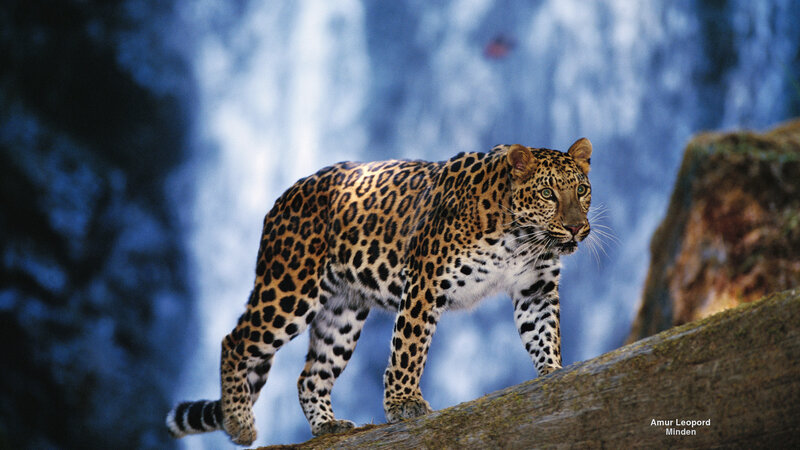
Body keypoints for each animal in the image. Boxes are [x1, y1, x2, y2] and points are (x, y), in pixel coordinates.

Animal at [166, 138, 593, 445]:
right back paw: (239, 421)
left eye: (582, 190)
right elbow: (410, 347)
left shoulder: (536, 287)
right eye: (548, 194)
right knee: (235, 340)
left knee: (310, 375)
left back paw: (327, 426)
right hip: (289, 289)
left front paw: (554, 373)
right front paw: (404, 404)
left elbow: (544, 334)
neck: (522, 237)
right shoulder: (425, 280)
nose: (577, 228)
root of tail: (282, 198)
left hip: (342, 313)